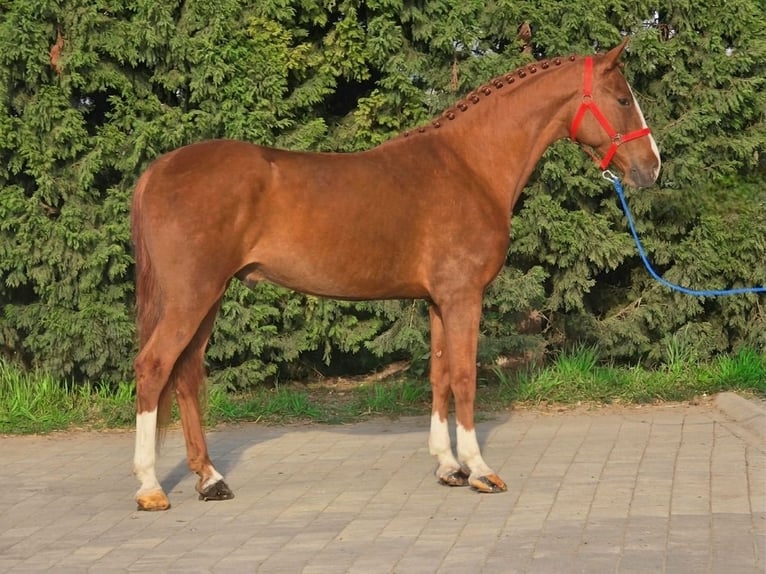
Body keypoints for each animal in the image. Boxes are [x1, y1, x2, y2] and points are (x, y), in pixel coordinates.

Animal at [131, 40, 660, 510]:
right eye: (622, 99)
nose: (652, 168)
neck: (470, 165)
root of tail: (157, 170)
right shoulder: (463, 295)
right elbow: (465, 375)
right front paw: (479, 470)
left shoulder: (438, 300)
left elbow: (440, 374)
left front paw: (448, 467)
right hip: (192, 295)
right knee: (154, 366)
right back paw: (151, 487)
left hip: (209, 297)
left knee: (185, 373)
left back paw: (210, 479)